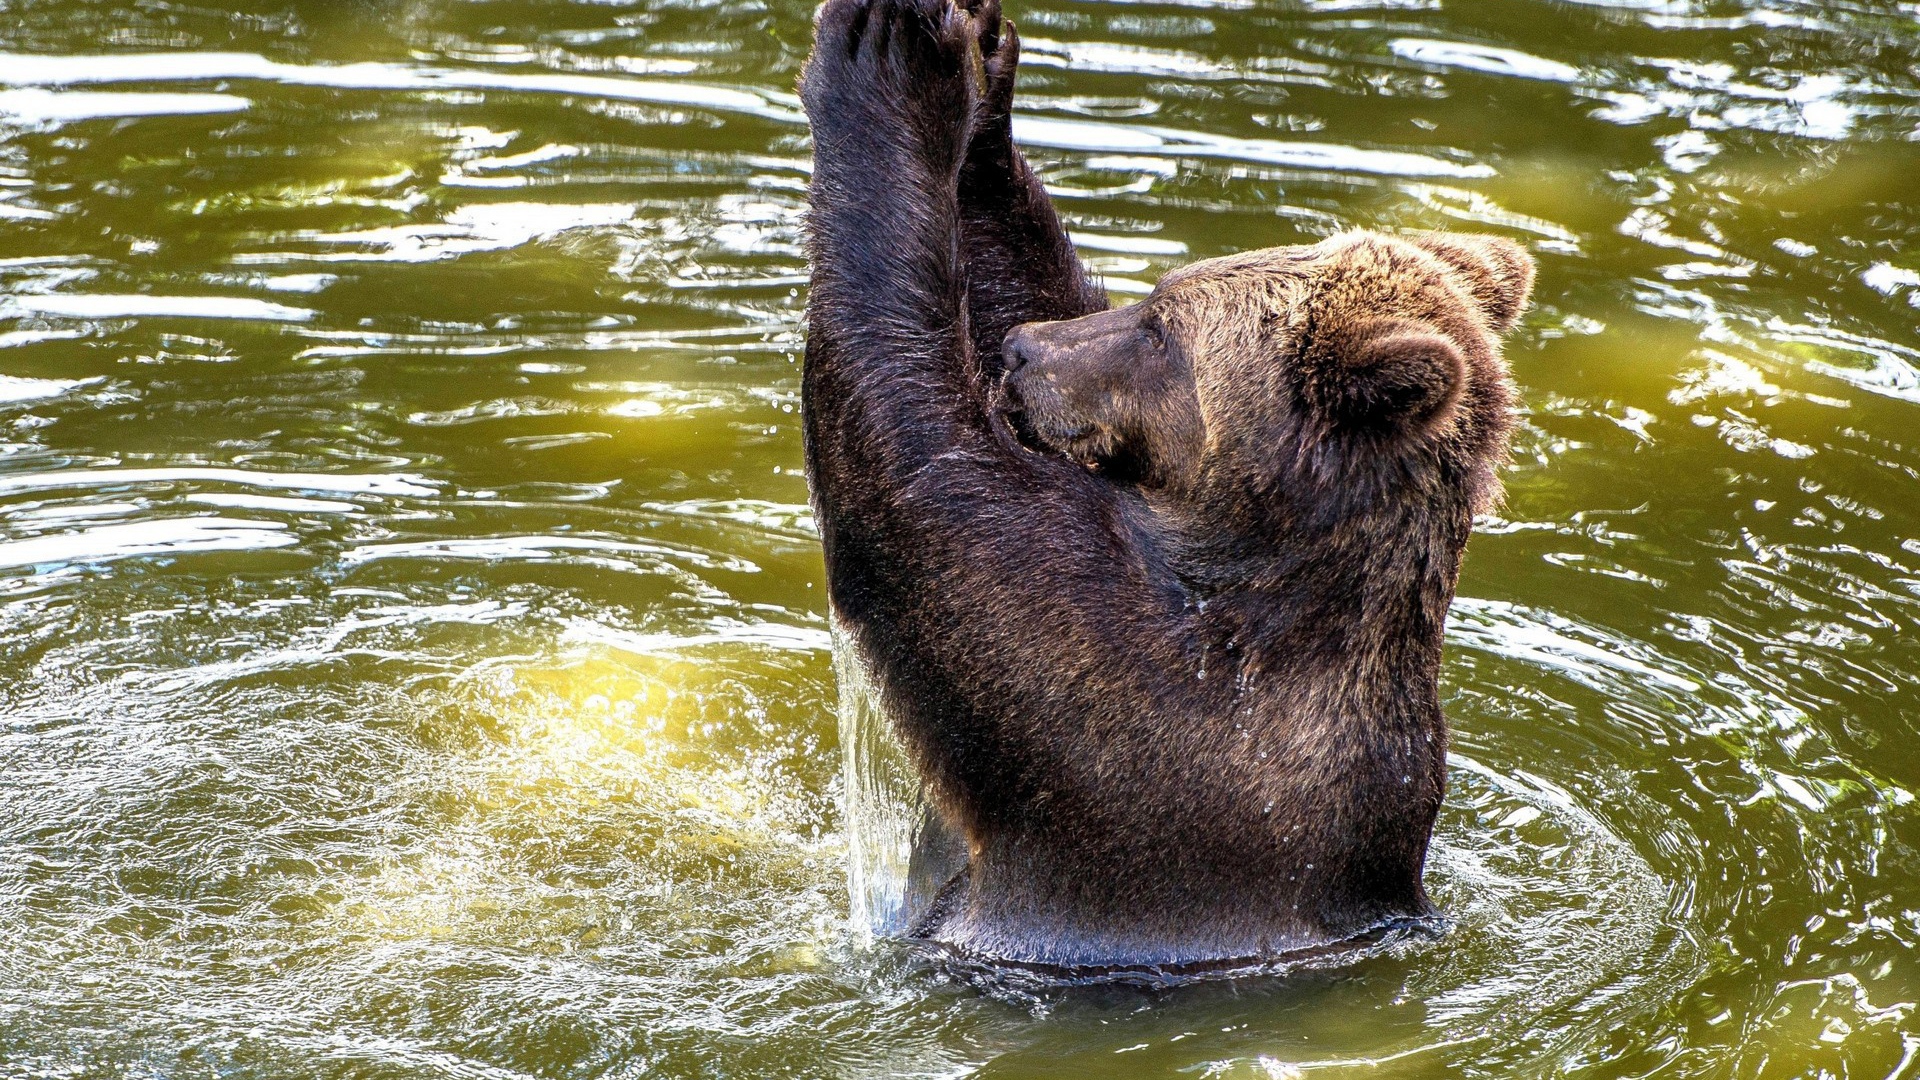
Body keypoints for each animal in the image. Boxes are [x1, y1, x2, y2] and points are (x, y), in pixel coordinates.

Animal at [798, 0, 1534, 974]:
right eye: (1153, 294)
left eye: (1160, 332)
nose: (1022, 352)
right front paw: (987, 91)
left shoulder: (1121, 704)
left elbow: (915, 469)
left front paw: (894, 64)